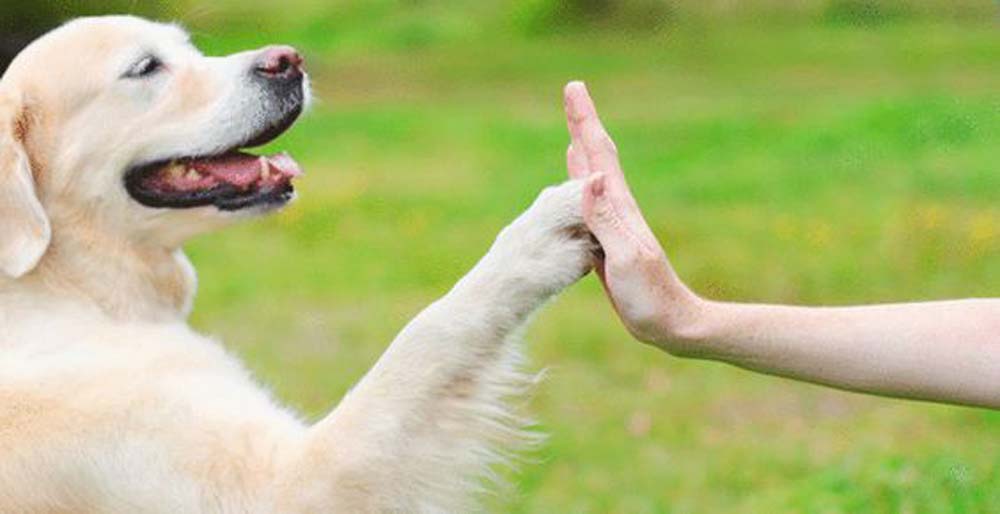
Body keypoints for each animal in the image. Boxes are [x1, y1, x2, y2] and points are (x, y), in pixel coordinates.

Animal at [0, 14, 592, 510]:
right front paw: (539, 236)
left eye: (188, 46)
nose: (288, 60)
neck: (70, 288)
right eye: (145, 67)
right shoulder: (284, 485)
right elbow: (428, 335)